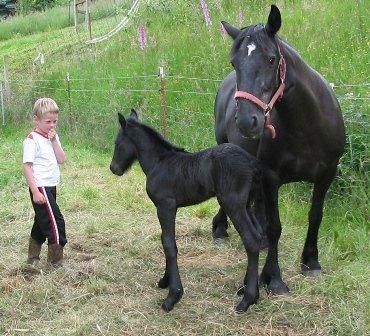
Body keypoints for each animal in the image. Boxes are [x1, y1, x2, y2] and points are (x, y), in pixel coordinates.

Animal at [110, 110, 264, 312]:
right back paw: (246, 289)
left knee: (251, 240)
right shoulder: (169, 208)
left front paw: (173, 295)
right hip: (246, 205)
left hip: (233, 204)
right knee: (259, 236)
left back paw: (247, 299)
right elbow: (167, 241)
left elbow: (168, 244)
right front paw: (165, 281)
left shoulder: (165, 206)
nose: (114, 168)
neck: (159, 163)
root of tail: (252, 163)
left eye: (117, 143)